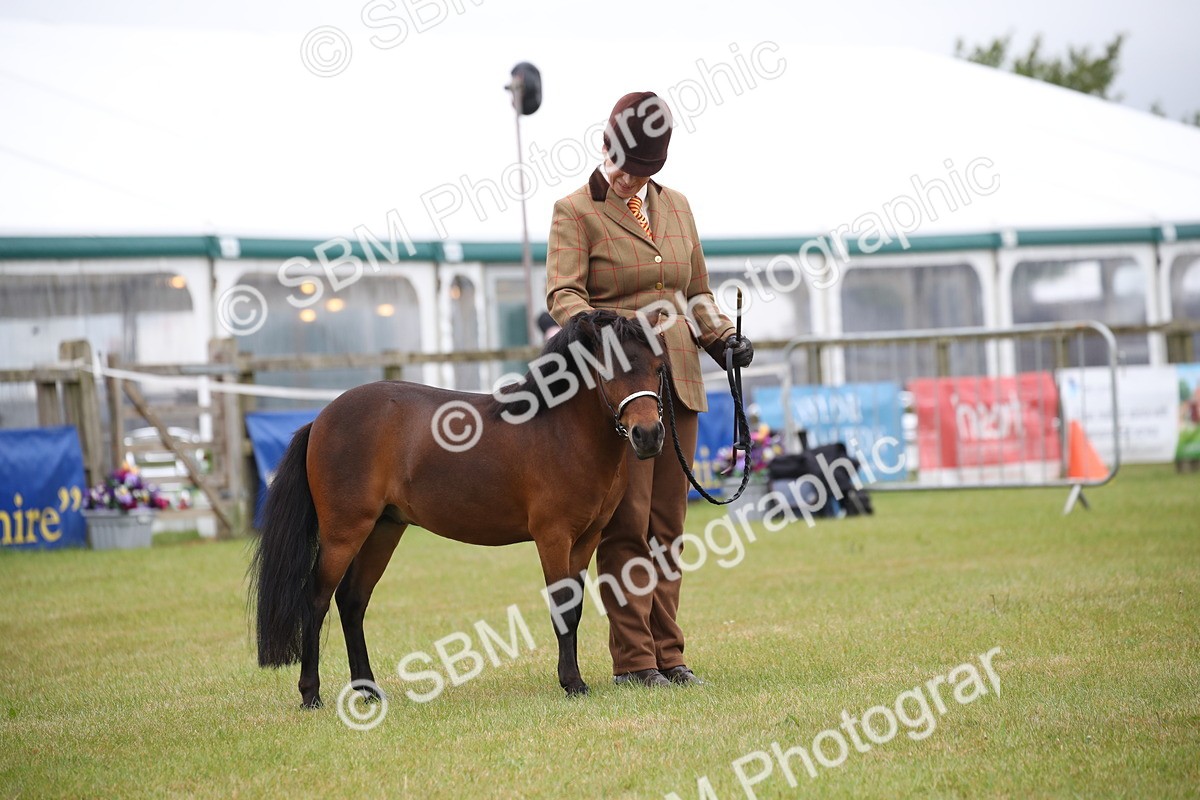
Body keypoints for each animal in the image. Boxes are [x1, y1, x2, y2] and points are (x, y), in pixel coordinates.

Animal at [251, 309, 669, 707]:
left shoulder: (586, 538)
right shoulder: (553, 537)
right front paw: (573, 683)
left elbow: (575, 610)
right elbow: (561, 607)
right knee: (316, 601)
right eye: (610, 370)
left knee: (352, 601)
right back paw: (311, 694)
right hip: (344, 533)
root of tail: (320, 419)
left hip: (383, 530)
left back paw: (368, 691)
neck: (559, 429)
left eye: (658, 368)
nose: (648, 435)